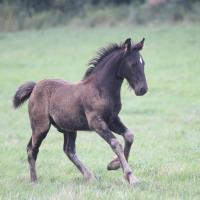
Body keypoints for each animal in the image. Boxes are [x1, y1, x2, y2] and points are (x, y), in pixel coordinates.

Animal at [12, 37, 147, 184]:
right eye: (132, 64)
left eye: (143, 63)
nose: (143, 89)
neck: (100, 89)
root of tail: (35, 87)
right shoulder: (96, 123)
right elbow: (116, 143)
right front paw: (131, 176)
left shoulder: (112, 119)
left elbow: (129, 136)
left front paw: (114, 165)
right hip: (41, 127)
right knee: (32, 149)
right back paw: (34, 181)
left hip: (68, 128)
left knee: (68, 150)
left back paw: (90, 176)